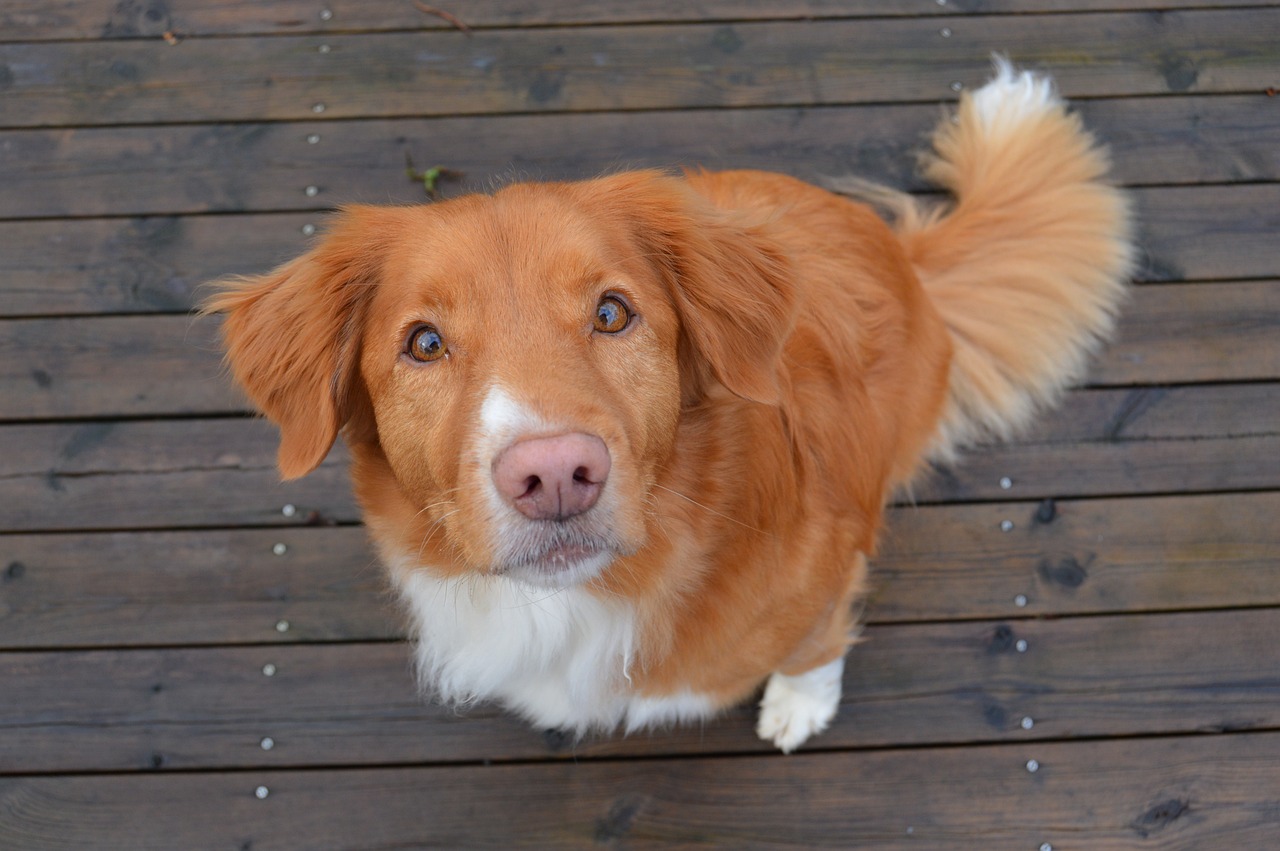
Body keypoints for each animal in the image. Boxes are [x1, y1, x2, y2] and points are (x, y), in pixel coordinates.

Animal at [204, 59, 1136, 752]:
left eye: (613, 312)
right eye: (424, 343)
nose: (555, 474)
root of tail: (902, 254)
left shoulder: (829, 563)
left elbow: (817, 638)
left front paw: (798, 701)